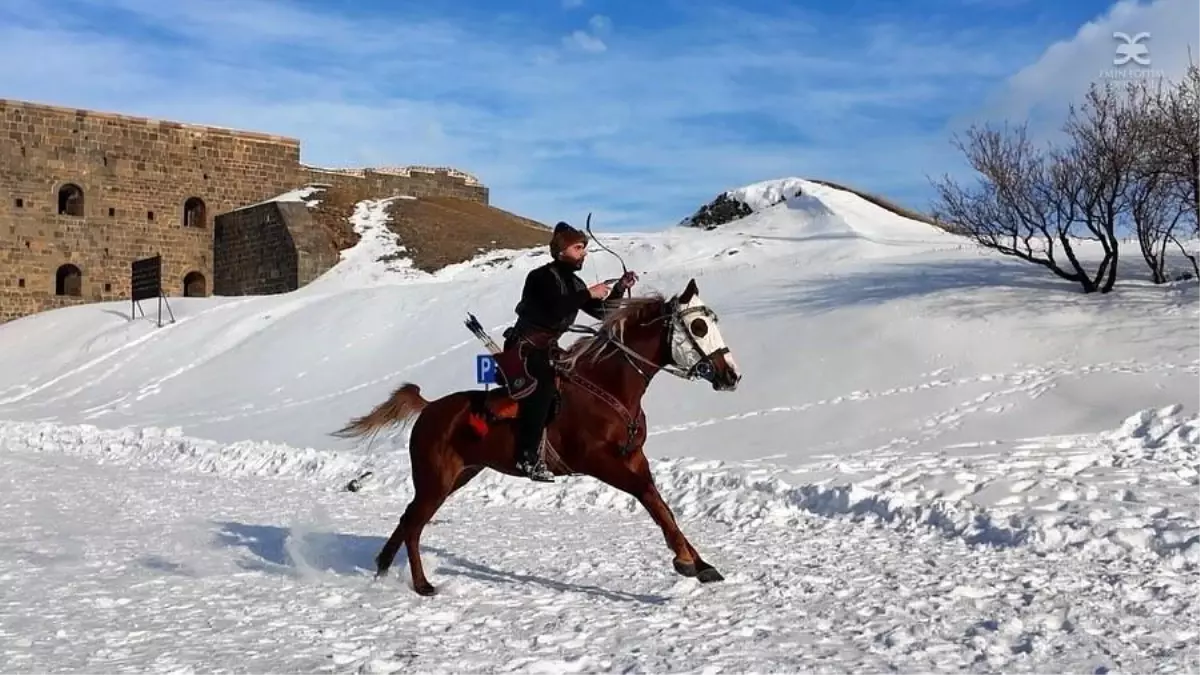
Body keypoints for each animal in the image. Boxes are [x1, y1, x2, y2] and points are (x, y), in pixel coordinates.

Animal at [331, 276, 739, 590]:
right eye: (699, 326)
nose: (731, 374)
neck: (608, 385)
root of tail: (430, 408)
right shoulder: (598, 461)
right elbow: (647, 497)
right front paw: (686, 561)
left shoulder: (633, 457)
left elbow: (661, 505)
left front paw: (700, 564)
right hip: (435, 480)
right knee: (414, 525)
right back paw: (420, 584)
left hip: (457, 476)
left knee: (407, 519)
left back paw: (384, 565)